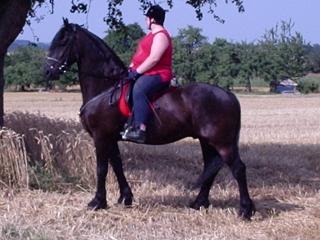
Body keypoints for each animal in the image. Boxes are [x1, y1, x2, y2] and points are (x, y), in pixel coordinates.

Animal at [44, 19, 255, 219]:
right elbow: (117, 166)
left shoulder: (101, 136)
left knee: (238, 169)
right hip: (207, 141)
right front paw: (125, 198)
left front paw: (97, 202)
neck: (106, 89)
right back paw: (199, 203)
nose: (47, 71)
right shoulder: (110, 138)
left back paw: (245, 210)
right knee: (211, 166)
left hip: (222, 142)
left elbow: (102, 168)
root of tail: (229, 94)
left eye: (62, 41)